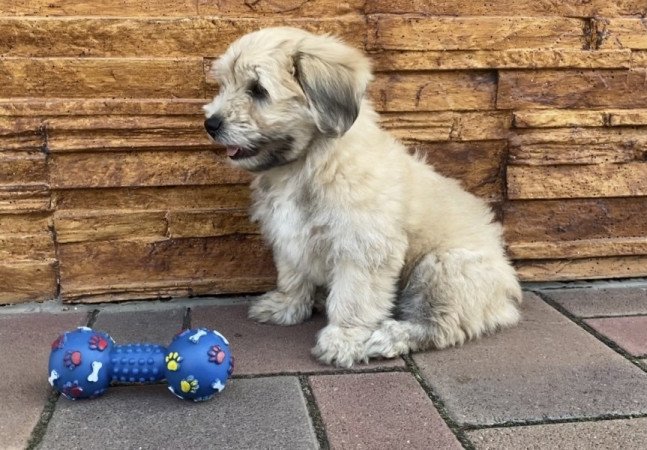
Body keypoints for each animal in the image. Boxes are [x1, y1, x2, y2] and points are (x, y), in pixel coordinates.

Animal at [205, 27, 524, 366]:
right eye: (225, 84)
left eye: (258, 90)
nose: (210, 123)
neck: (309, 162)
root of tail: (507, 292)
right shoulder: (289, 235)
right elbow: (293, 275)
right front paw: (286, 307)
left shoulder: (363, 245)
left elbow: (355, 297)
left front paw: (343, 339)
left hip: (444, 269)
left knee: (441, 324)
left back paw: (389, 337)